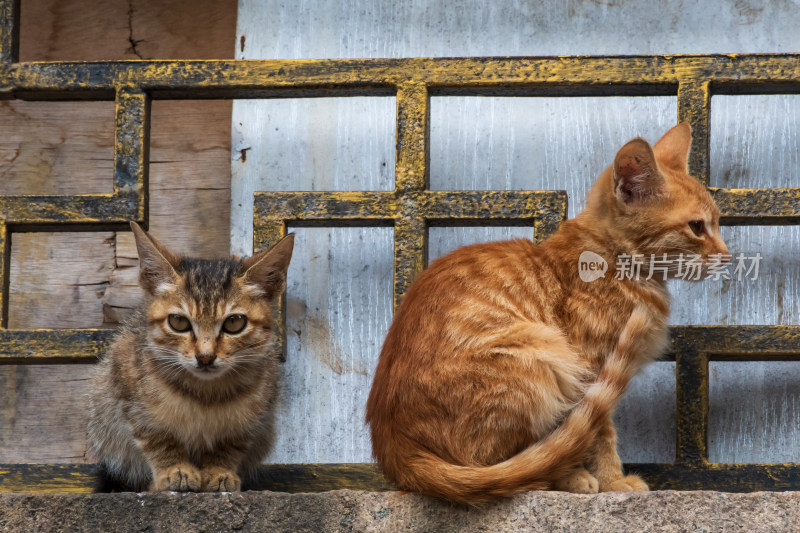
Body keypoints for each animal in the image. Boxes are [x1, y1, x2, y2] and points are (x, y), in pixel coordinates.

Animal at [88, 221, 294, 490]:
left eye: (234, 323)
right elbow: (158, 439)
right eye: (178, 321)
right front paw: (174, 470)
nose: (205, 357)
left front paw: (219, 471)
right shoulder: (128, 394)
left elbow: (229, 446)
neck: (205, 395)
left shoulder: (253, 420)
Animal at [366, 123, 728, 502]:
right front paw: (613, 483)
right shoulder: (591, 364)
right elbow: (600, 432)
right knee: (509, 466)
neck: (614, 259)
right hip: (541, 356)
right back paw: (566, 476)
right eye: (697, 227)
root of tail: (396, 452)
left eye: (717, 223)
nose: (727, 255)